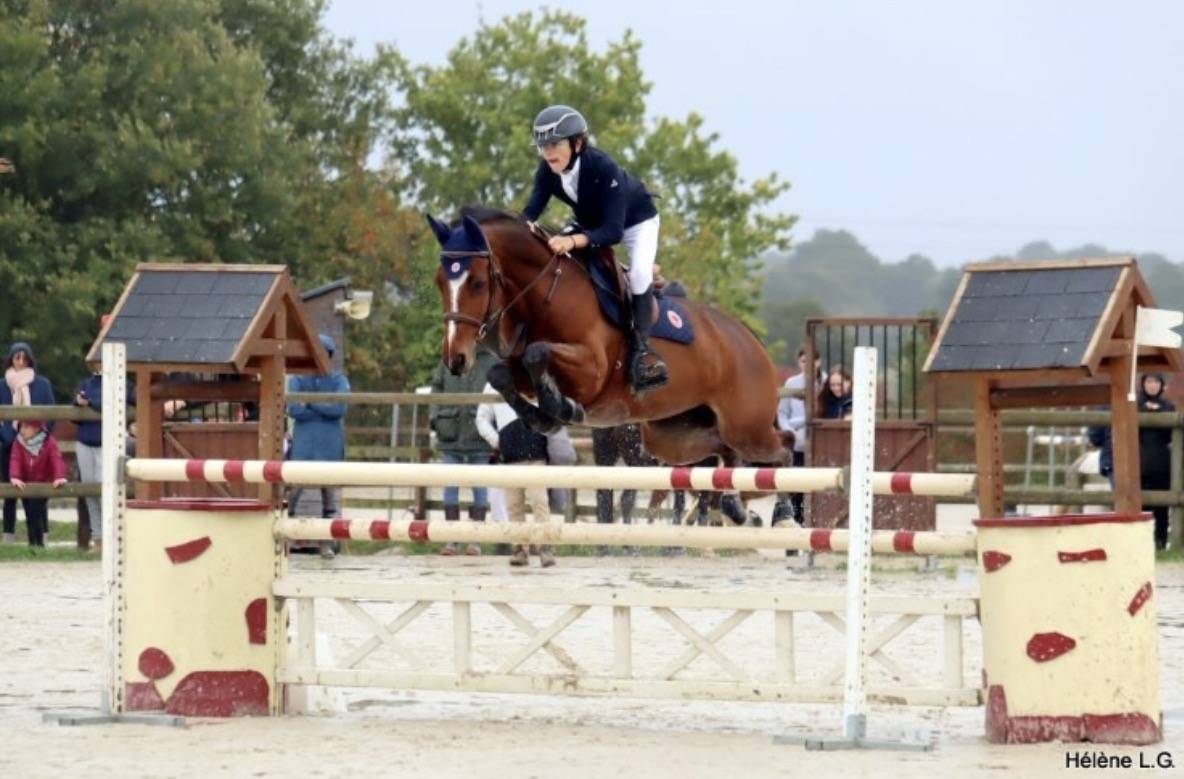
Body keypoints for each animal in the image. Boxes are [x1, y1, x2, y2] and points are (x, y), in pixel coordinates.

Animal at [427, 207, 791, 524]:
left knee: (783, 447)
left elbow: (537, 354)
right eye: (439, 282)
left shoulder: (591, 372)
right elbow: (501, 372)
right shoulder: (520, 369)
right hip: (672, 436)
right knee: (723, 448)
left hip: (747, 427)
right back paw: (736, 508)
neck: (550, 295)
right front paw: (540, 417)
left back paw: (783, 513)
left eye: (476, 282)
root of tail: (750, 339)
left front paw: (561, 408)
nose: (455, 359)